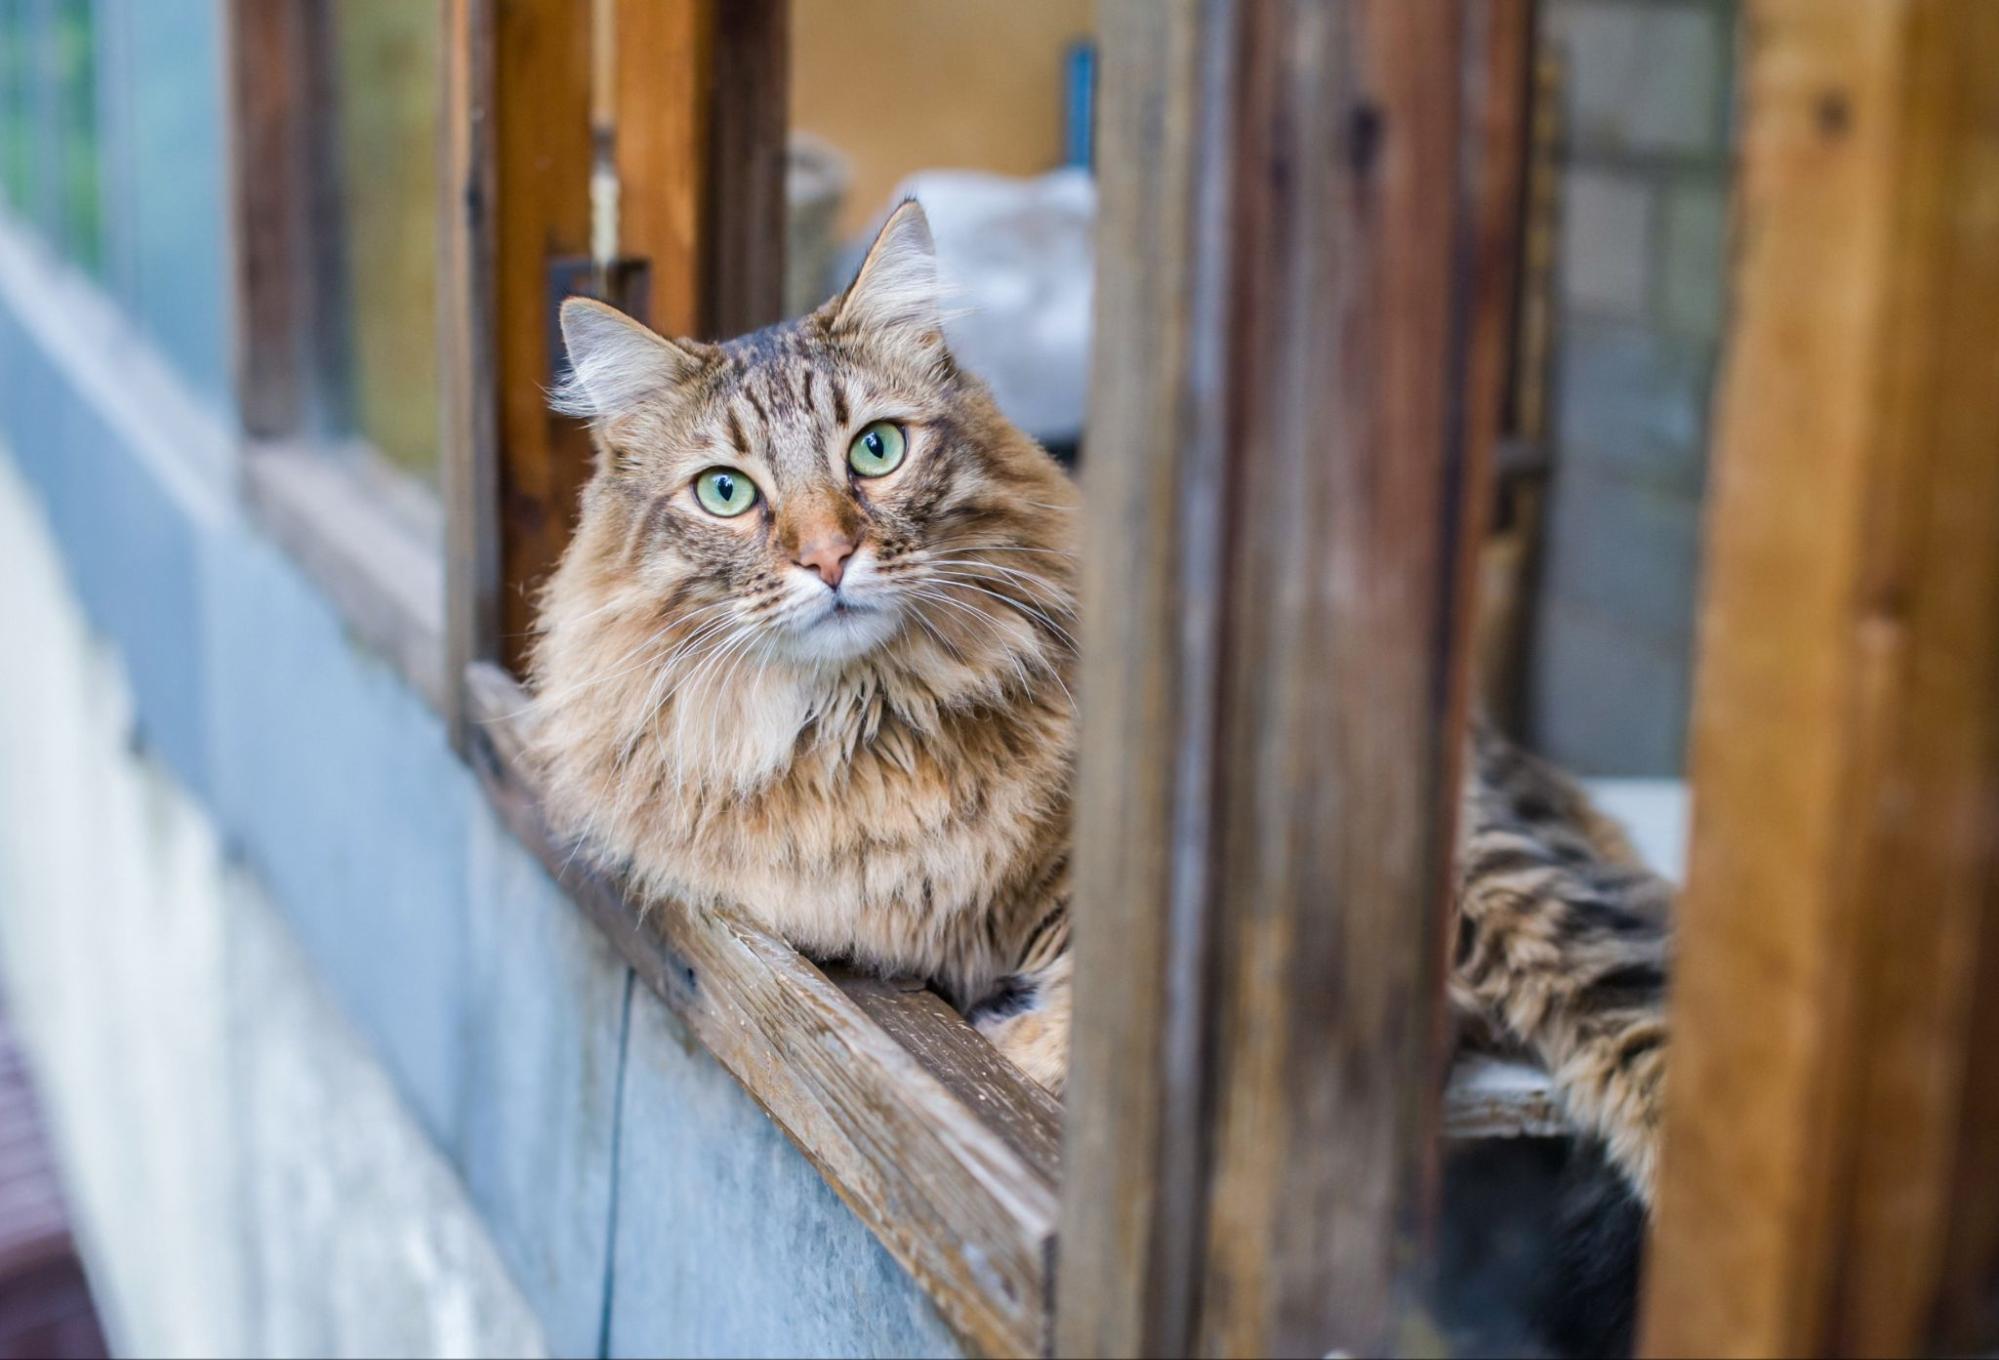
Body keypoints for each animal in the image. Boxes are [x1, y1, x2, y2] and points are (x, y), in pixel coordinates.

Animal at [531, 199, 1671, 1200]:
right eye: (726, 493)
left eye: (876, 449)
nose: (827, 558)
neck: (870, 726)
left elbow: (1089, 1036)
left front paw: (1021, 1046)